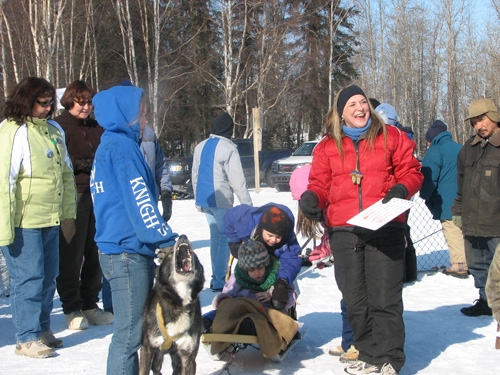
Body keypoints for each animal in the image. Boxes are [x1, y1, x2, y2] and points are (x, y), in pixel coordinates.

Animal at [139, 235, 203, 375]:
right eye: (171, 253)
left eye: (194, 253)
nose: (183, 236)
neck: (180, 303)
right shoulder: (148, 348)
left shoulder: (188, 356)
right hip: (158, 356)